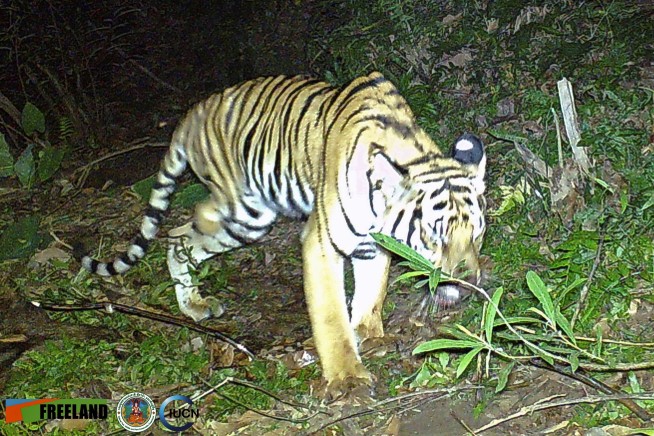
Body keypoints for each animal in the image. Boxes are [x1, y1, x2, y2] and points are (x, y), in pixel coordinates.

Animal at [78, 72, 486, 396]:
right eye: (435, 237)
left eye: (478, 235)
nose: (470, 285)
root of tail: (192, 113)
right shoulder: (322, 244)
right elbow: (331, 317)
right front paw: (347, 377)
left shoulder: (373, 246)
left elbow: (371, 294)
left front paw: (369, 335)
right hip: (246, 213)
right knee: (187, 226)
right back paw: (193, 292)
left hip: (247, 220)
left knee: (180, 235)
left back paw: (194, 304)